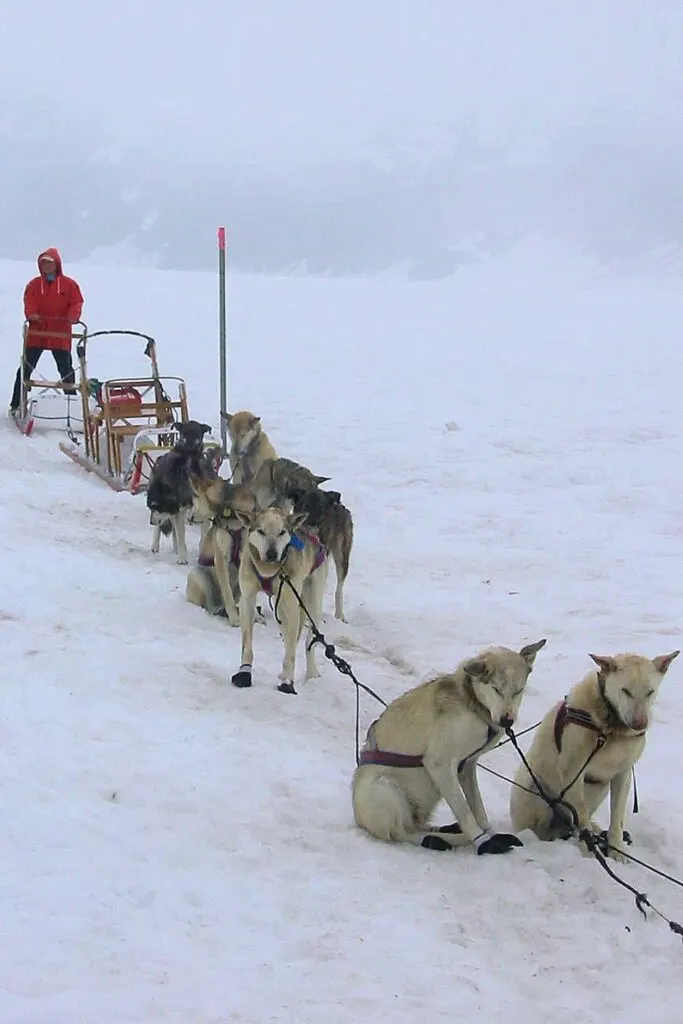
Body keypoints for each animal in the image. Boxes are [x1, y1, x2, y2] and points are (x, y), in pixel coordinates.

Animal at [231, 505, 327, 696]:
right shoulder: (248, 598)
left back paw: (311, 673)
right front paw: (244, 672)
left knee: (307, 641)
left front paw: (288, 682)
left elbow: (290, 652)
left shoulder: (292, 606)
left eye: (282, 532)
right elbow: (247, 643)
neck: (268, 570)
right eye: (260, 531)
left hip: (311, 603)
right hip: (280, 609)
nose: (271, 554)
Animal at [286, 483, 352, 618]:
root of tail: (340, 505)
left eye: (321, 508)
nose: (312, 524)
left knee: (339, 588)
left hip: (342, 558)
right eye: (306, 505)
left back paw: (339, 614)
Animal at [352, 643, 544, 851]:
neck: (472, 704)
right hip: (385, 787)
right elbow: (466, 813)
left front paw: (489, 833)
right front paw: (483, 841)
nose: (506, 720)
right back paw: (449, 839)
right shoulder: (439, 766)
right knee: (406, 834)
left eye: (518, 691)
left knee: (418, 827)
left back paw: (446, 830)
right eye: (496, 689)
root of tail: (359, 820)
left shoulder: (467, 766)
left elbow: (478, 809)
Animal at [507, 651, 679, 860]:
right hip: (534, 789)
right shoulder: (573, 773)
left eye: (650, 692)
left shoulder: (622, 775)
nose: (639, 723)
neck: (611, 728)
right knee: (548, 826)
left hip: (600, 788)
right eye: (625, 691)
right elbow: (581, 817)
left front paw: (616, 849)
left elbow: (616, 818)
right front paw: (588, 849)